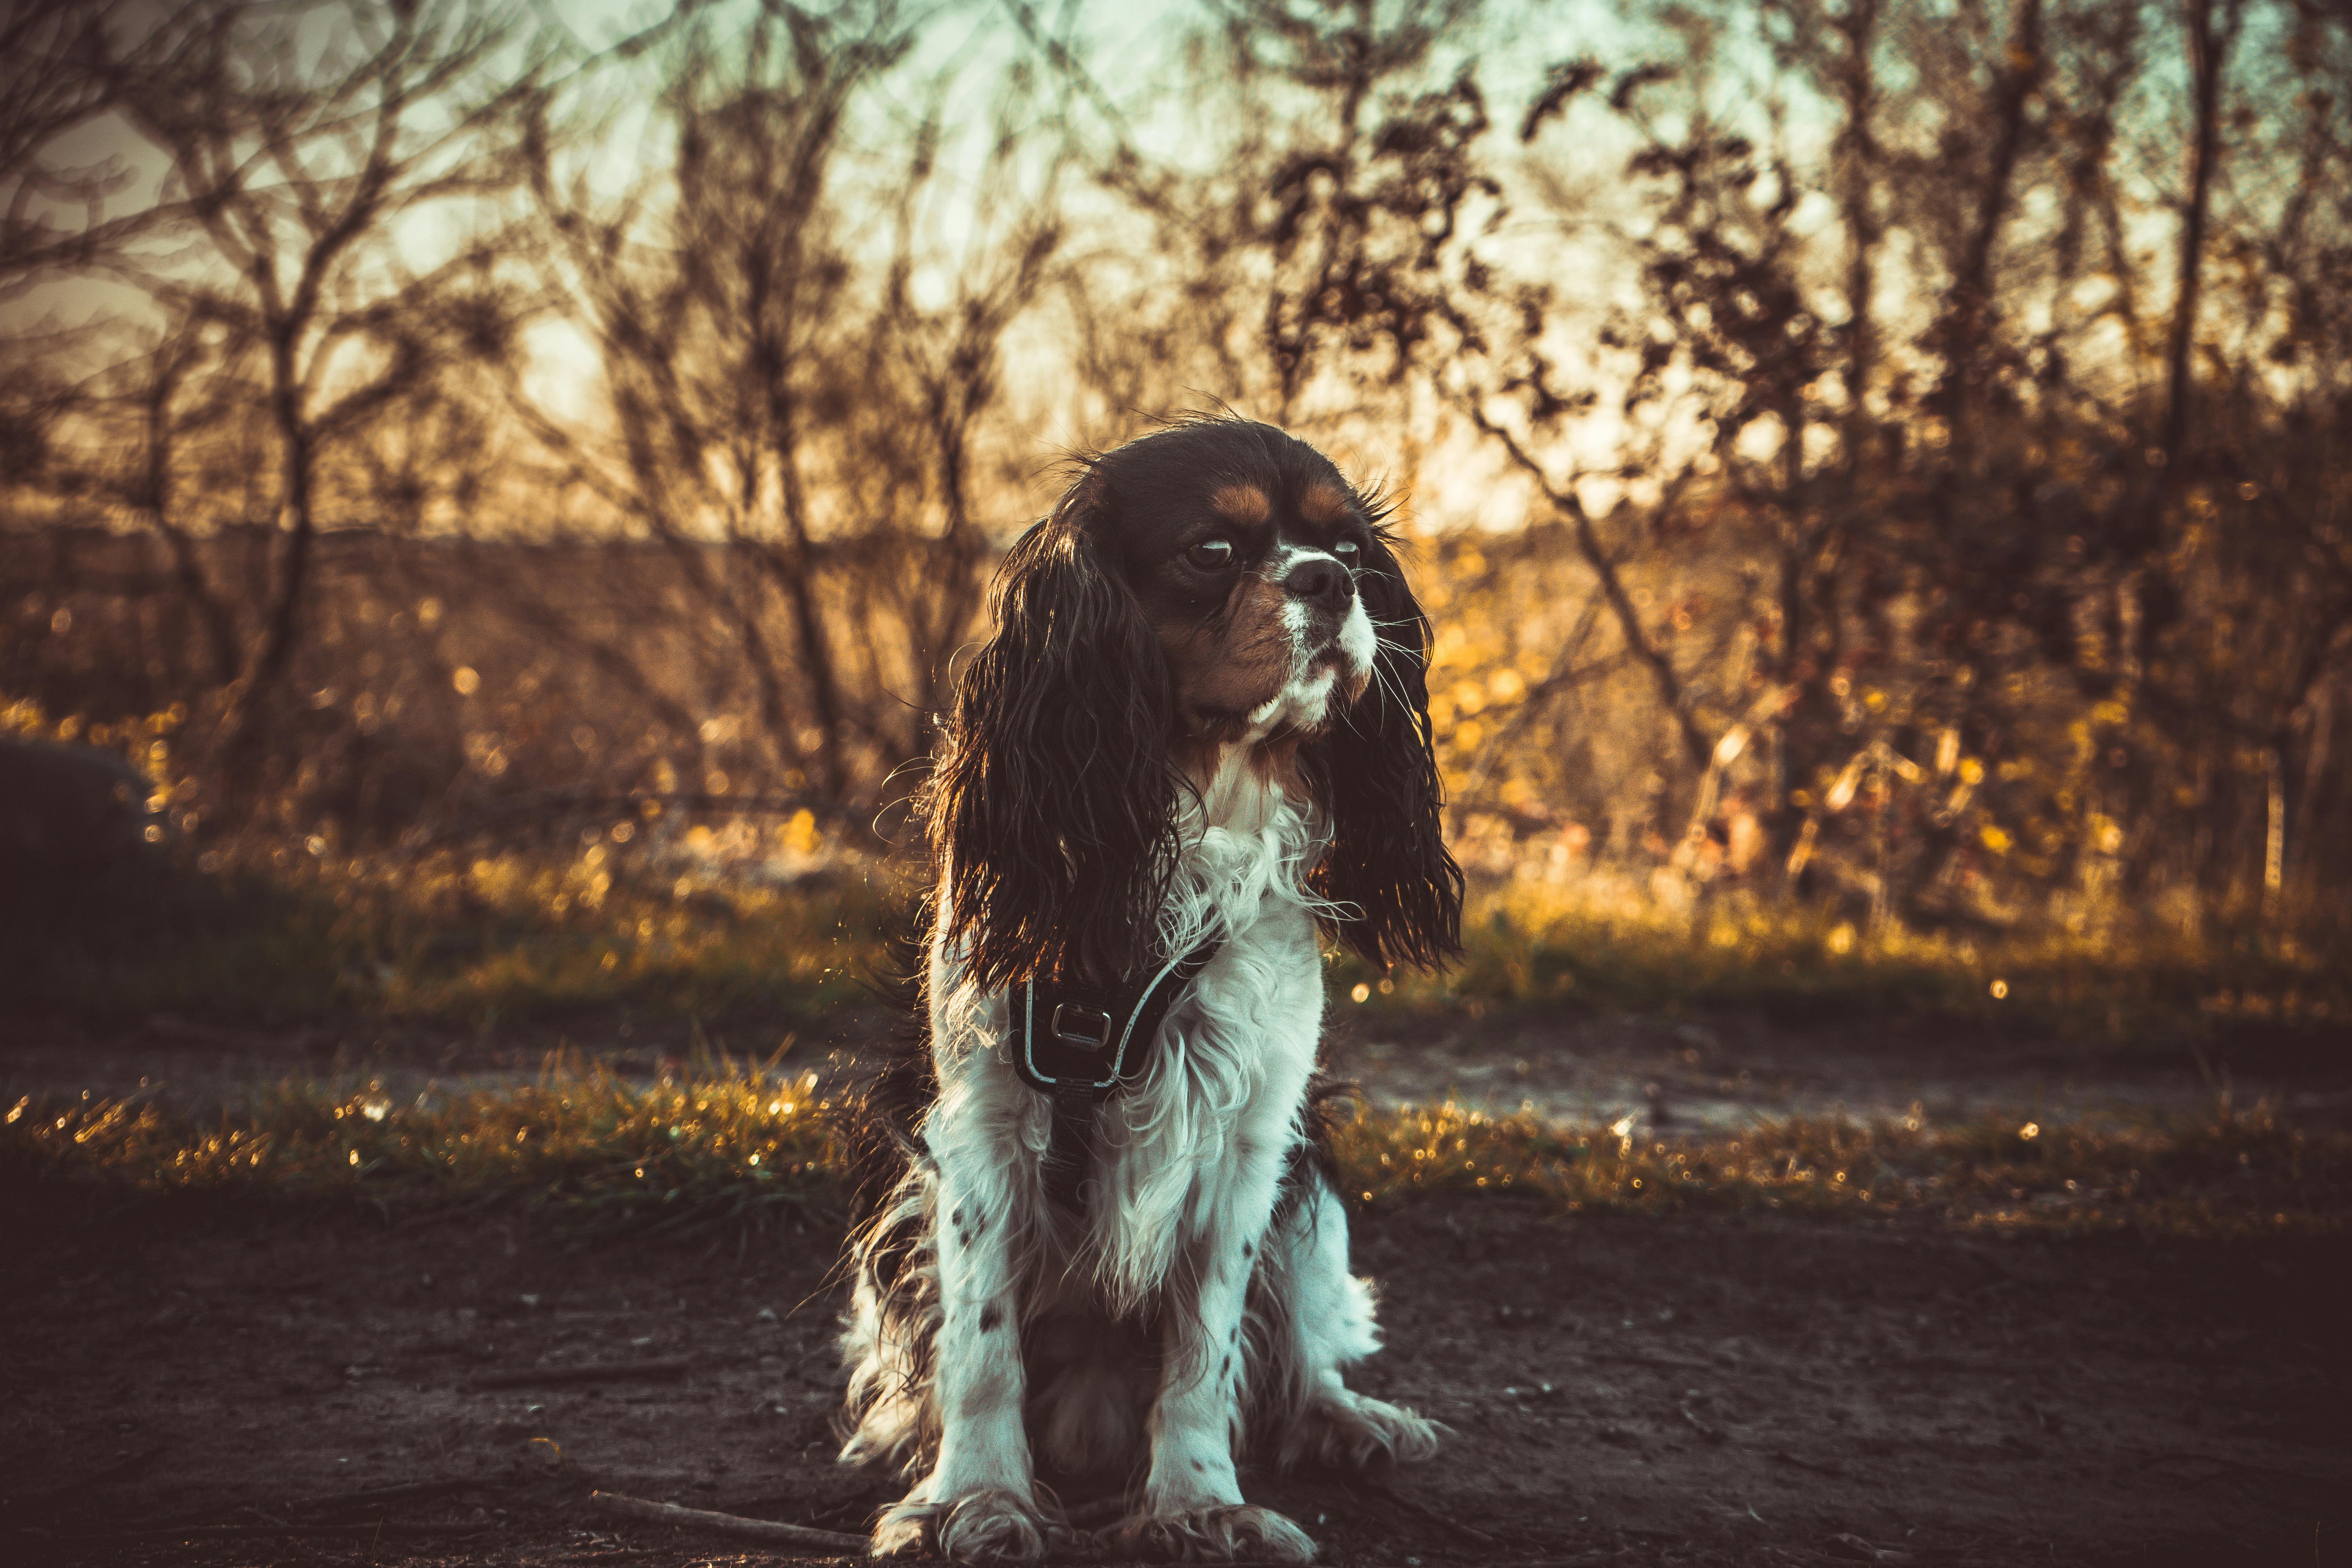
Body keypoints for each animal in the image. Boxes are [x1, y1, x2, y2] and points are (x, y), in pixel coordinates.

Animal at [837, 414, 1458, 1561]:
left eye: (1351, 550)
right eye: (1211, 551)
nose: (1327, 583)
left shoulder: (1252, 1137)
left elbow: (1205, 1350)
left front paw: (1200, 1503)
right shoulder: (980, 1125)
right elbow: (982, 1345)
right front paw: (973, 1498)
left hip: (1316, 1190)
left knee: (1299, 1342)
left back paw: (1346, 1417)